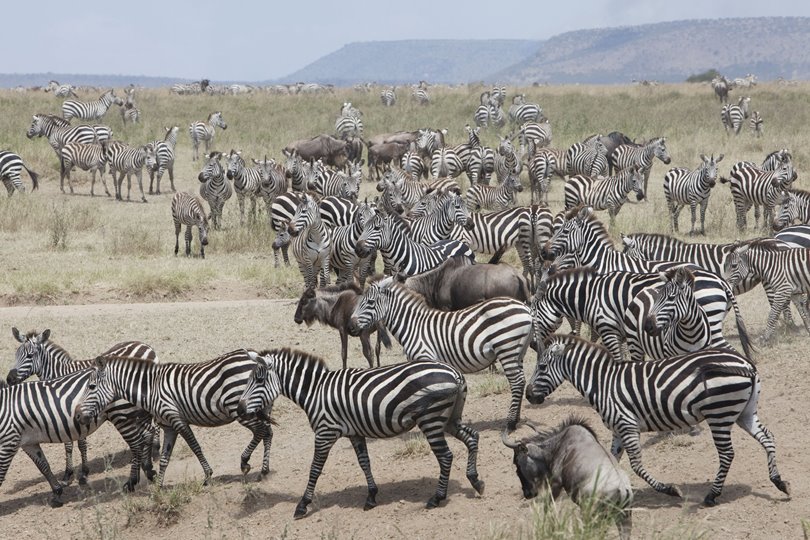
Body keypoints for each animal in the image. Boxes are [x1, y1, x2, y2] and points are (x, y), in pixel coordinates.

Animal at [74, 350, 275, 488]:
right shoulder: (168, 426)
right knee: (268, 432)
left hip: (240, 409)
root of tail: (257, 359)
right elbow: (164, 457)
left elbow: (195, 446)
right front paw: (159, 486)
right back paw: (264, 470)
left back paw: (245, 462)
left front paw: (208, 475)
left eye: (91, 387)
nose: (77, 415)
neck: (151, 389)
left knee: (262, 430)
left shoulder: (177, 420)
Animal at [236, 349, 483, 517]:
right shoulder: (355, 433)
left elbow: (315, 469)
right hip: (450, 419)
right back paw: (475, 481)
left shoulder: (325, 432)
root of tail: (454, 372)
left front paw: (303, 505)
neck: (316, 391)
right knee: (472, 437)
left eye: (258, 380)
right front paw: (371, 496)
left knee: (446, 456)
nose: (238, 409)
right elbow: (365, 463)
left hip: (431, 420)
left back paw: (437, 498)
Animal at [350, 276, 532, 430]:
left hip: (506, 347)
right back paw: (516, 419)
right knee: (521, 380)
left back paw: (510, 423)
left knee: (516, 382)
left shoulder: (425, 357)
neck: (413, 326)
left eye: (370, 302)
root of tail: (524, 307)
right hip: (518, 352)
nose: (351, 326)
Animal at [526, 335, 790, 506]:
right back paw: (779, 482)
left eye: (542, 366)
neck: (603, 384)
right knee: (768, 437)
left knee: (727, 454)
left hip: (719, 414)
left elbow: (636, 466)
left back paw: (712, 495)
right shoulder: (617, 429)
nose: (528, 395)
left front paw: (670, 490)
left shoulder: (627, 425)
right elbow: (611, 460)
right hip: (745, 412)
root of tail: (746, 364)